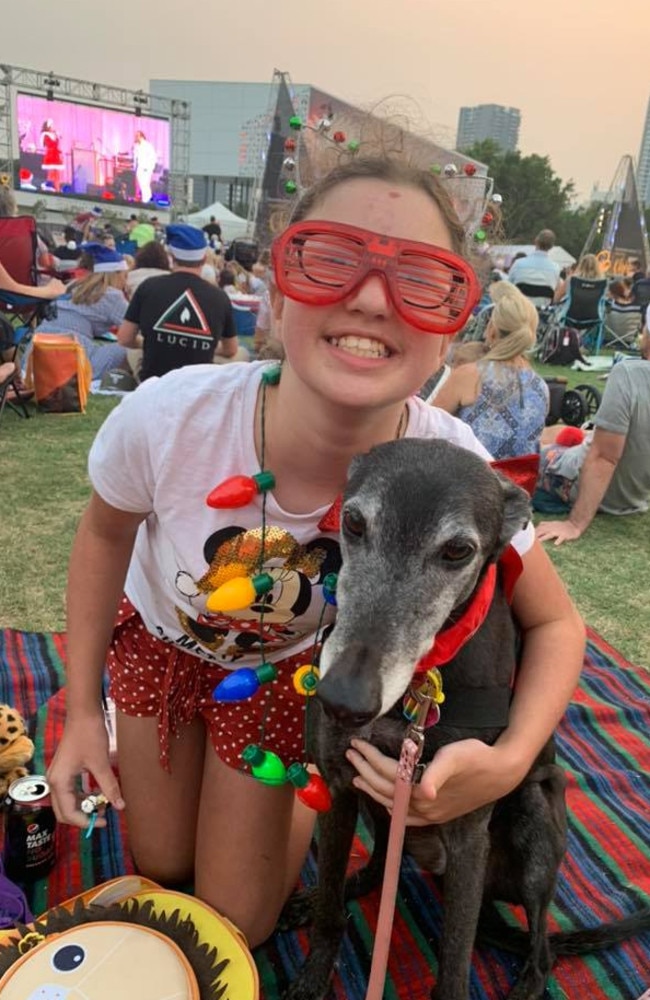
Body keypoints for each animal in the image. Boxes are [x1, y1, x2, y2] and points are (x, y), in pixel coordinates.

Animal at [278, 440, 568, 1000]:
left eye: (458, 551)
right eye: (352, 522)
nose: (342, 700)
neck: (417, 688)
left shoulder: (469, 825)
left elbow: (454, 962)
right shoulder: (340, 786)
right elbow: (329, 909)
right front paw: (314, 972)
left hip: (535, 823)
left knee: (542, 942)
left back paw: (529, 980)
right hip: (379, 806)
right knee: (375, 865)